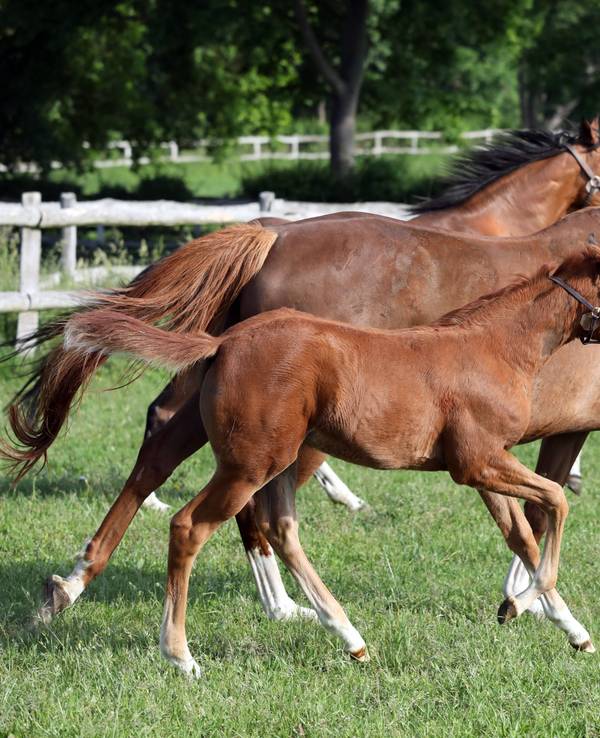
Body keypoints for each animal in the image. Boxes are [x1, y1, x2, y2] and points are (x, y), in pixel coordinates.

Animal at [5, 120, 600, 625]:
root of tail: (271, 236)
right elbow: (538, 514)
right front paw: (535, 603)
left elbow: (533, 514)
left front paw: (527, 599)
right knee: (246, 500)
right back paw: (286, 601)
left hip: (221, 389)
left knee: (165, 445)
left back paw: (73, 584)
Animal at [59, 248, 600, 676]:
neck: (495, 348)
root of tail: (224, 342)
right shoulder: (478, 462)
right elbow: (556, 502)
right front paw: (518, 605)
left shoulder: (486, 466)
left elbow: (523, 536)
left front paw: (570, 630)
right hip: (253, 465)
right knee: (191, 525)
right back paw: (180, 655)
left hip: (276, 461)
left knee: (277, 528)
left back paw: (350, 639)